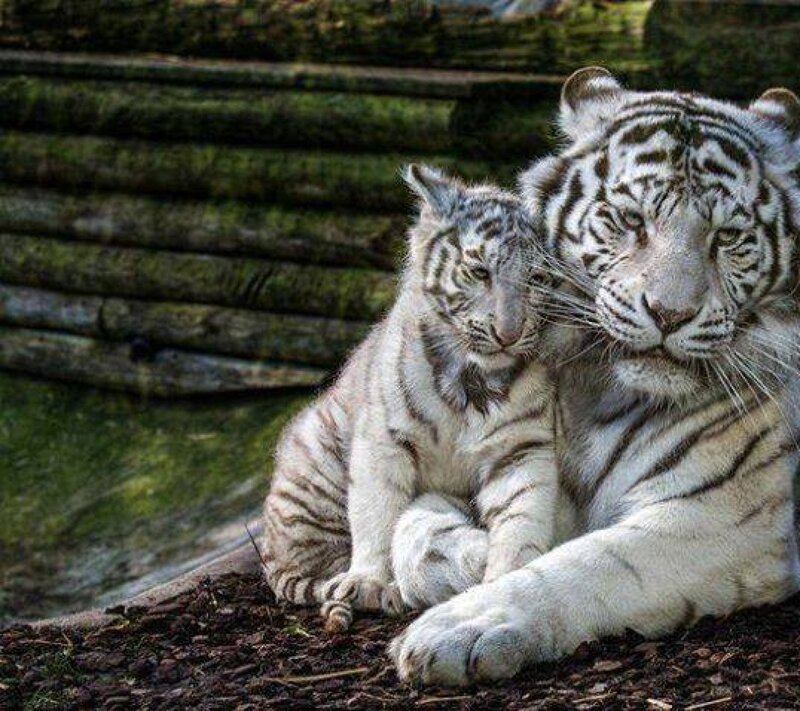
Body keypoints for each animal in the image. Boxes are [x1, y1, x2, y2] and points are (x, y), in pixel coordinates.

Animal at [261, 163, 578, 632]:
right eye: (479, 272)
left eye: (537, 279)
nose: (509, 334)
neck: (471, 377)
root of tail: (269, 558)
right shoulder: (382, 441)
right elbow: (376, 511)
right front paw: (370, 580)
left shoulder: (519, 447)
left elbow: (522, 517)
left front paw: (506, 578)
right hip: (316, 455)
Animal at [391, 68, 800, 686]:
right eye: (632, 221)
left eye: (726, 238)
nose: (670, 314)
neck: (601, 392)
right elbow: (411, 525)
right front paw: (472, 558)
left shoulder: (731, 515)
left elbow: (588, 564)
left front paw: (459, 626)